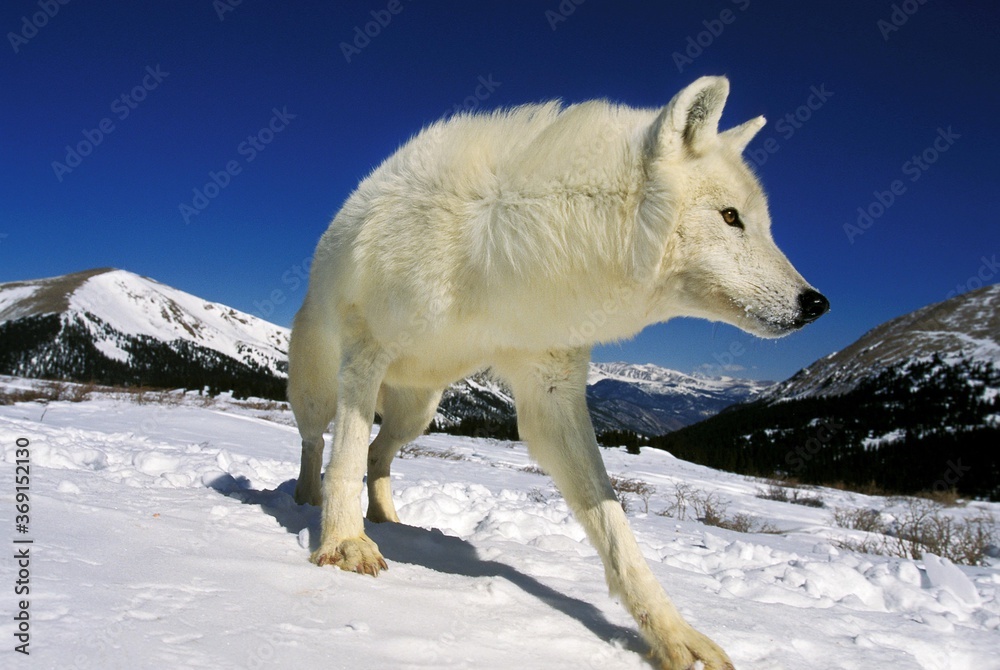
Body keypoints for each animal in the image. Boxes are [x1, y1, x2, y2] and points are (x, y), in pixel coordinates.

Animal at [288, 76, 828, 668]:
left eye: (764, 224)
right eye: (732, 217)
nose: (816, 303)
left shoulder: (551, 390)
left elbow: (615, 526)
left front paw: (672, 635)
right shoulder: (367, 349)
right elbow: (344, 458)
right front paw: (343, 544)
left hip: (420, 411)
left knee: (379, 454)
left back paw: (388, 517)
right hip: (324, 389)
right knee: (320, 441)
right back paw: (307, 497)